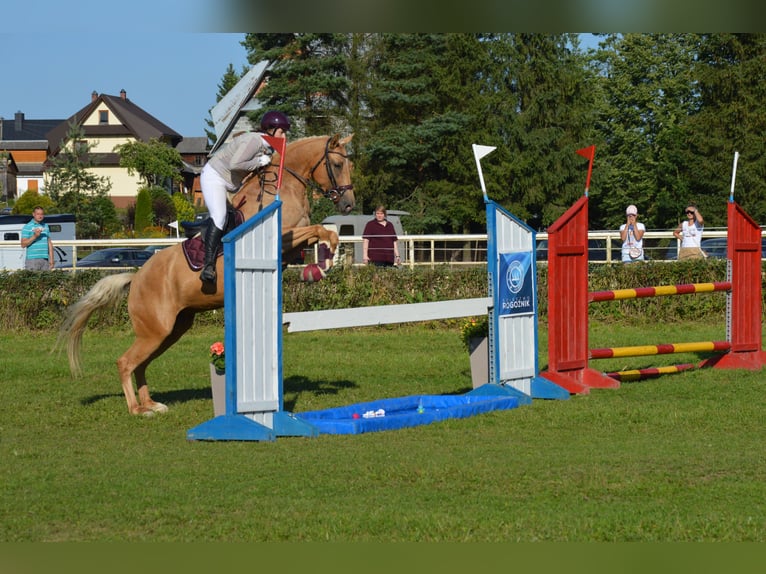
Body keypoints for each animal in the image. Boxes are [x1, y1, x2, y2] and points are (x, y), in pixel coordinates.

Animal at [60, 135, 356, 416]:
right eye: (337, 164)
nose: (349, 205)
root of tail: (136, 278)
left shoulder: (291, 245)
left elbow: (319, 233)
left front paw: (321, 265)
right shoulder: (281, 237)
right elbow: (319, 230)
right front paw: (325, 261)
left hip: (171, 330)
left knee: (140, 364)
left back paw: (151, 404)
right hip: (155, 331)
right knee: (125, 362)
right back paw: (137, 409)